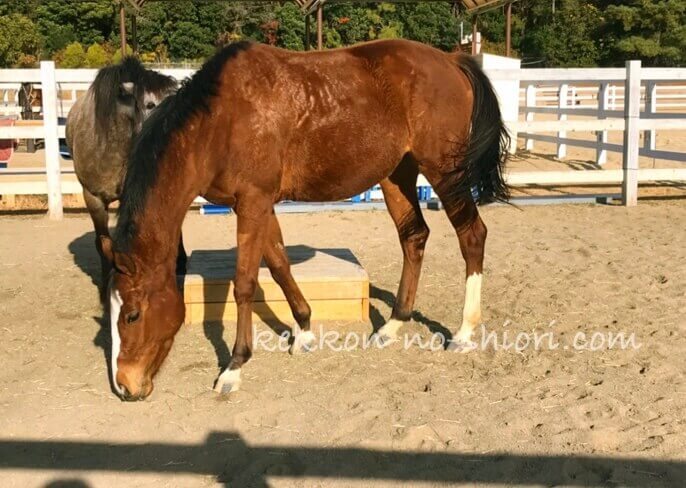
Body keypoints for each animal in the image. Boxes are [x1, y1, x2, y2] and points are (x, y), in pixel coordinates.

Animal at [101, 40, 510, 400]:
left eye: (132, 315)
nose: (124, 386)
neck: (220, 121)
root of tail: (451, 60)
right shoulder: (257, 204)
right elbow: (280, 265)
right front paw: (304, 330)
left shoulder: (253, 202)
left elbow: (245, 283)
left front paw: (234, 367)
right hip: (398, 174)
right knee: (414, 236)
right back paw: (392, 325)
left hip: (445, 172)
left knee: (472, 235)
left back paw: (464, 331)